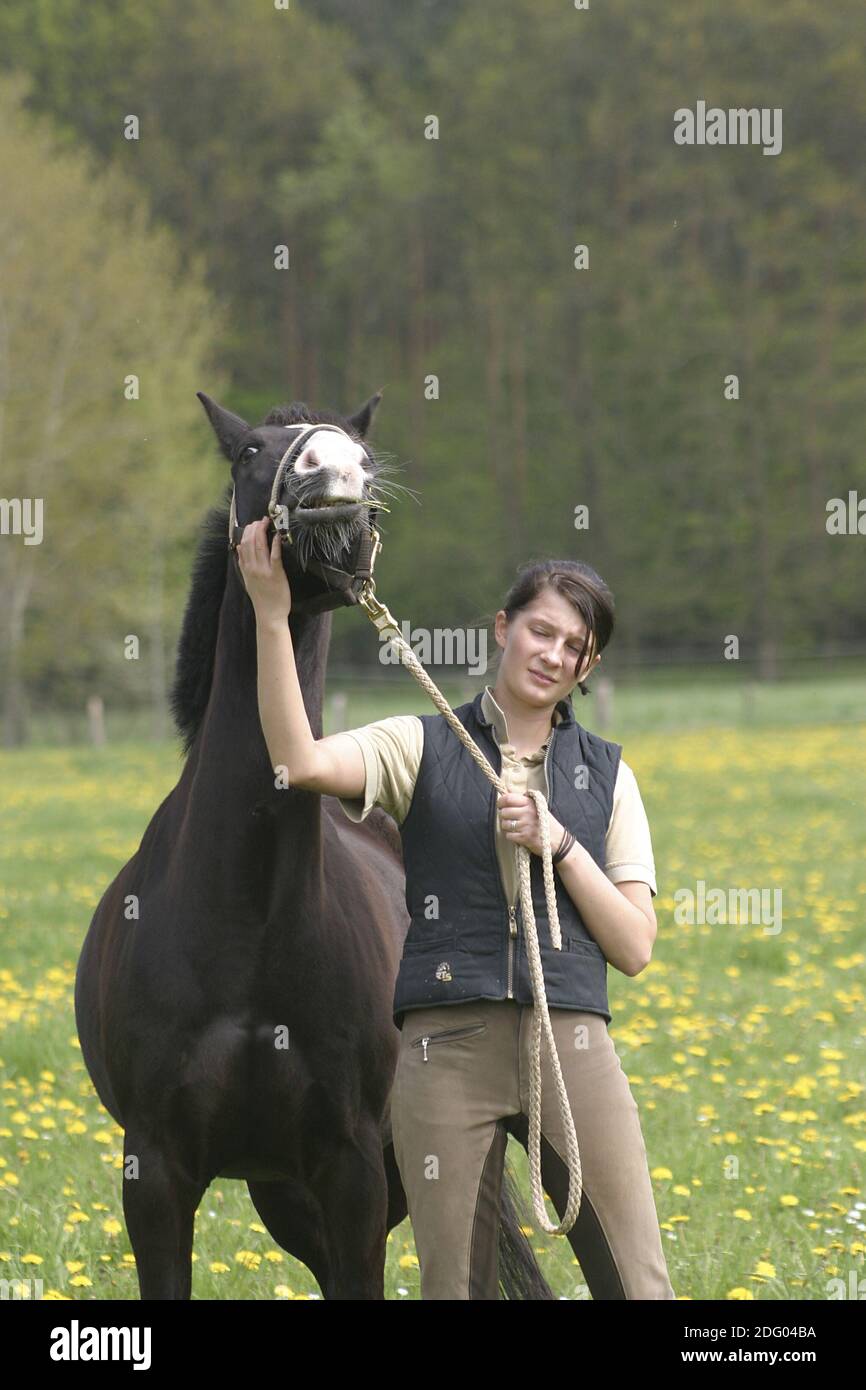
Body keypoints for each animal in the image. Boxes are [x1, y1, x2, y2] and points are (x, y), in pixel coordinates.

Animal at [74, 390, 555, 1300]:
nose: (332, 473)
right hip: (284, 1193)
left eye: (363, 455)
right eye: (252, 451)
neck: (240, 923)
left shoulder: (350, 1169)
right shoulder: (154, 1172)